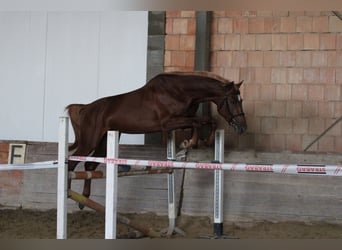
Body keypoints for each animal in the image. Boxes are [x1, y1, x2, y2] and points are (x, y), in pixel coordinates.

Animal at [67, 71, 247, 206]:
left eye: (241, 100)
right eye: (232, 101)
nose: (243, 127)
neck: (181, 92)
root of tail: (86, 109)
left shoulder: (182, 119)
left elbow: (208, 120)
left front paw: (203, 141)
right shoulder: (167, 123)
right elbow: (197, 122)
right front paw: (190, 142)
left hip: (105, 140)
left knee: (89, 165)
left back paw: (84, 199)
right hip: (90, 140)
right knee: (72, 162)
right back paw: (67, 192)